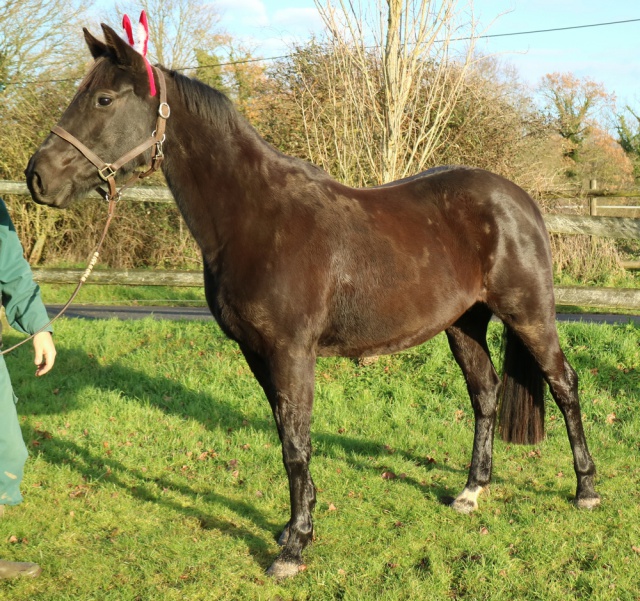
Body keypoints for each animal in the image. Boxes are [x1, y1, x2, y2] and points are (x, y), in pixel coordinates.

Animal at [25, 23, 600, 576]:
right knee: (485, 393)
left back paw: (586, 490)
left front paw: (294, 548)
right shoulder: (256, 352)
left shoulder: (291, 352)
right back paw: (471, 491)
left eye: (104, 99)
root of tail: (521, 200)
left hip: (529, 314)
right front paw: (291, 527)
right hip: (464, 323)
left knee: (564, 385)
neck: (256, 218)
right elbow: (286, 436)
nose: (38, 176)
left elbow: (296, 446)